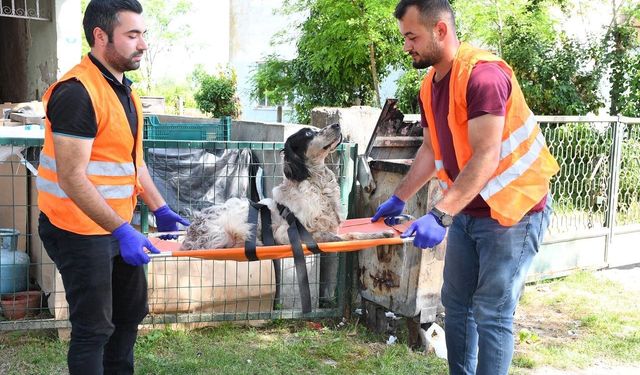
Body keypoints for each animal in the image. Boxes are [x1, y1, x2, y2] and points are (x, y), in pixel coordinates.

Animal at [178, 124, 392, 253]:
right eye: (308, 134)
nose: (337, 124)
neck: (317, 184)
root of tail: (191, 231)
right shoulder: (286, 233)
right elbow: (336, 236)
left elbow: (353, 234)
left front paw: (382, 234)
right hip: (230, 229)